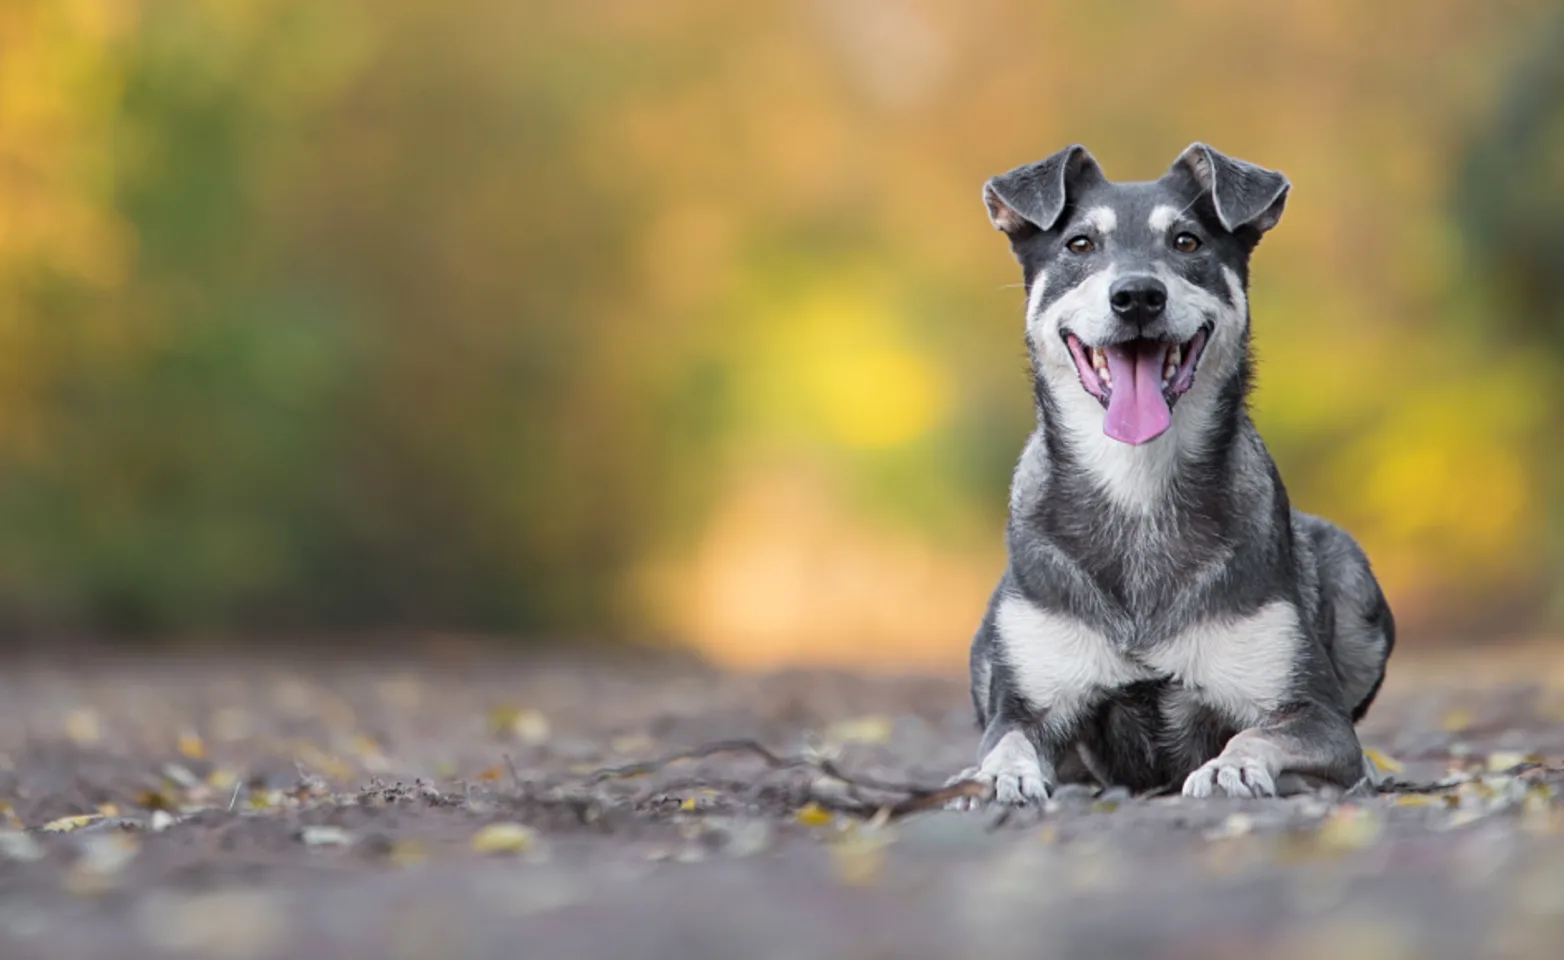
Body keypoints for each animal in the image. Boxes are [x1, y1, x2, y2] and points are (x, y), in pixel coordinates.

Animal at [950, 144, 1395, 806]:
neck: (1137, 483)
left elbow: (1261, 734)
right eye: (1080, 244)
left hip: (1351, 572)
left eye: (1187, 241)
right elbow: (1006, 742)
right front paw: (997, 775)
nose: (1137, 295)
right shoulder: (1025, 706)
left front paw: (1231, 767)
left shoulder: (1313, 713)